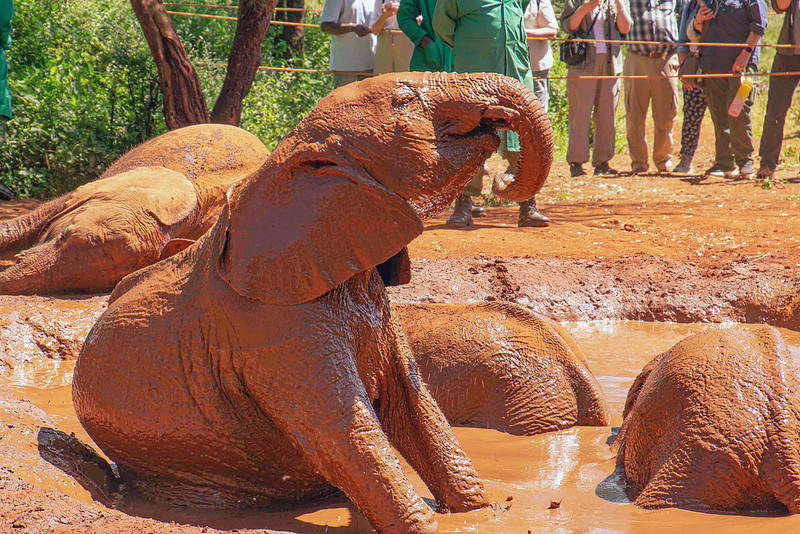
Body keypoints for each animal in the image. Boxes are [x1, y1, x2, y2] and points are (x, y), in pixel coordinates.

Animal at [73, 71, 554, 534]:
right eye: (404, 101)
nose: (504, 178)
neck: (289, 156)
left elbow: (417, 409)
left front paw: (480, 513)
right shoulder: (270, 331)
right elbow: (343, 431)